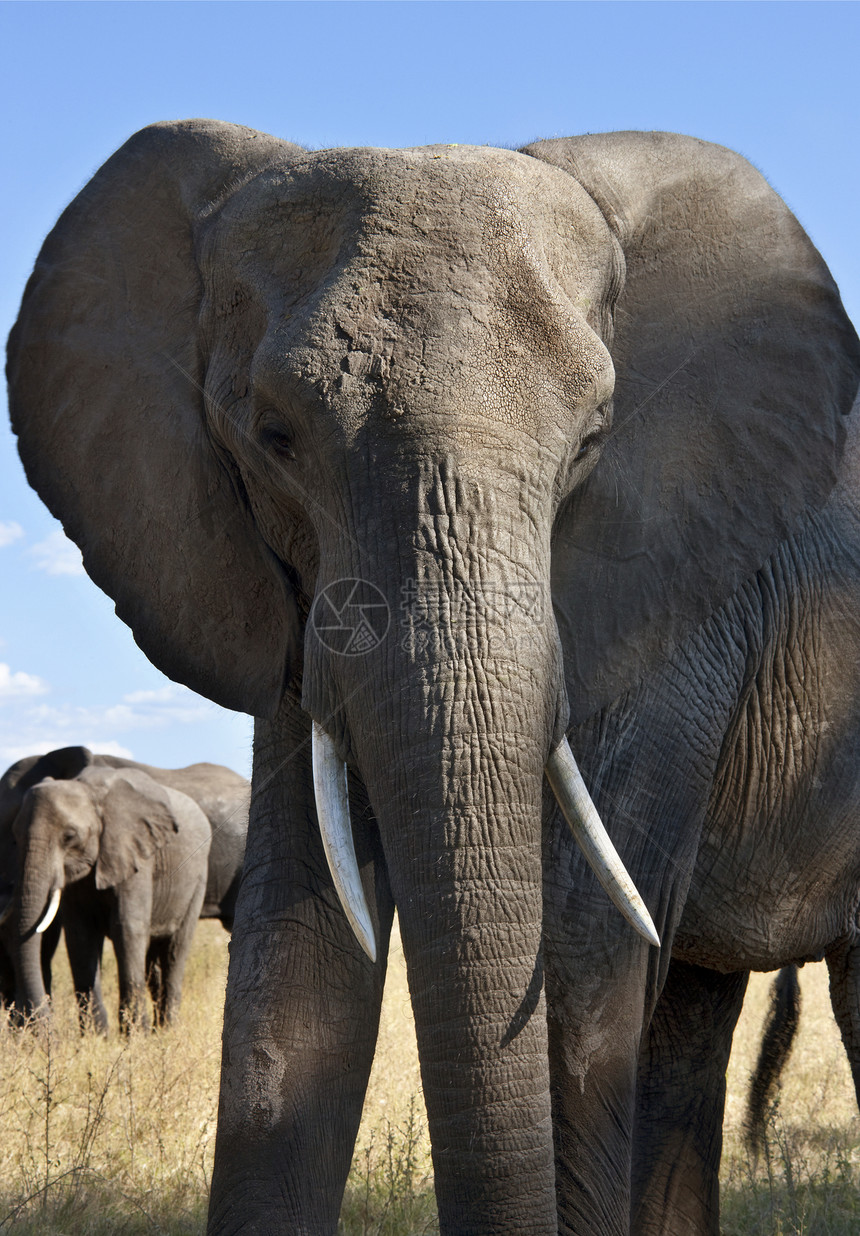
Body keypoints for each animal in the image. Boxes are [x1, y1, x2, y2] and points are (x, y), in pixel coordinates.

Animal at [0, 746, 250, 1018]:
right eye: (14, 836)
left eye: (70, 836)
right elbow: (78, 935)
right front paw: (97, 1030)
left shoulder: (135, 851)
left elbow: (126, 927)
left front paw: (133, 1028)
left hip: (200, 877)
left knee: (175, 951)